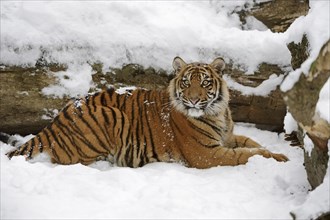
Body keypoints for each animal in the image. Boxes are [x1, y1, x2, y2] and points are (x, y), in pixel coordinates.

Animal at [6, 56, 288, 168]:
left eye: (205, 83)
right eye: (187, 83)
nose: (194, 100)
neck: (217, 112)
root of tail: (54, 122)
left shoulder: (227, 137)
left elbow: (251, 142)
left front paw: (277, 151)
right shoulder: (207, 154)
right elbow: (247, 154)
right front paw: (278, 157)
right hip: (111, 116)